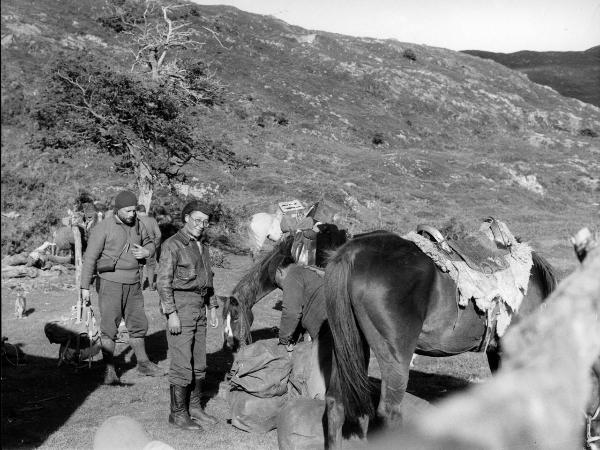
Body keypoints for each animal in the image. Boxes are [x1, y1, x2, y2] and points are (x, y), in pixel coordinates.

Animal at [324, 230, 556, 448]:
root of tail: (353, 252)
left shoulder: (497, 353)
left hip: (348, 347)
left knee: (335, 405)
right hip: (395, 355)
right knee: (389, 410)